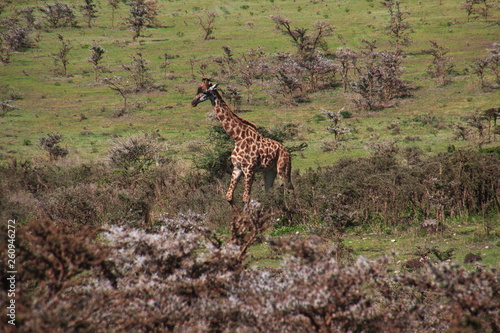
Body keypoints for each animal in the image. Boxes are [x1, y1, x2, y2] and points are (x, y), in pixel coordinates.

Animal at [191, 78, 292, 208]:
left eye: (204, 92)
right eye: (198, 90)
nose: (193, 102)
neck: (238, 137)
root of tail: (287, 153)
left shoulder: (249, 169)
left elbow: (246, 198)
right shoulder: (237, 168)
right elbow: (229, 196)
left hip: (282, 169)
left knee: (289, 189)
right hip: (269, 171)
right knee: (269, 193)